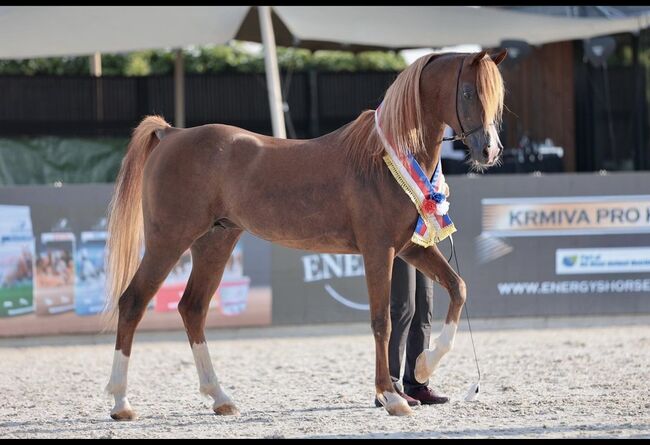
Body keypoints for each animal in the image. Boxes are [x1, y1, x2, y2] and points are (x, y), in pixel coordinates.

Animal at [102, 50, 506, 418]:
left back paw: (220, 397)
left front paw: (423, 365)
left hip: (214, 242)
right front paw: (391, 397)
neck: (384, 158)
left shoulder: (410, 248)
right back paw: (121, 402)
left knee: (193, 308)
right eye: (467, 92)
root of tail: (171, 133)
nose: (489, 150)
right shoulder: (379, 250)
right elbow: (383, 321)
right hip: (168, 240)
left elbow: (458, 287)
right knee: (133, 302)